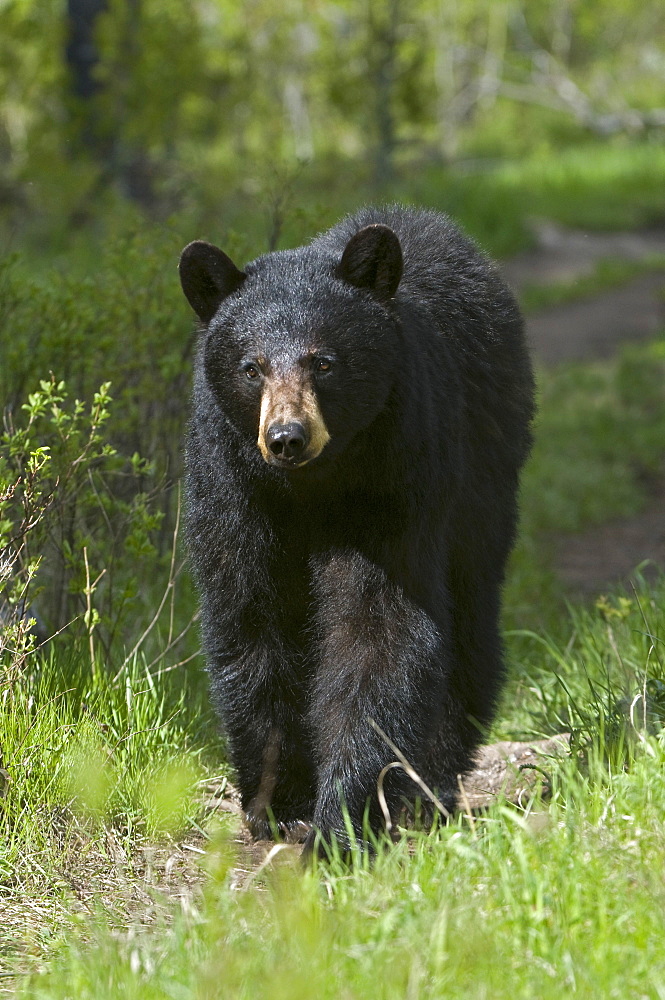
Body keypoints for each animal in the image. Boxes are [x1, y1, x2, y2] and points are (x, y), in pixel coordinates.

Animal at [178, 207, 536, 856]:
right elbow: (252, 618)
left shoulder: (394, 476)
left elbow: (379, 627)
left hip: (484, 470)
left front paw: (341, 819)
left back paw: (431, 783)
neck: (314, 485)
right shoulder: (234, 484)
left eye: (323, 361)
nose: (287, 437)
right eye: (251, 367)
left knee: (469, 608)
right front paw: (278, 803)